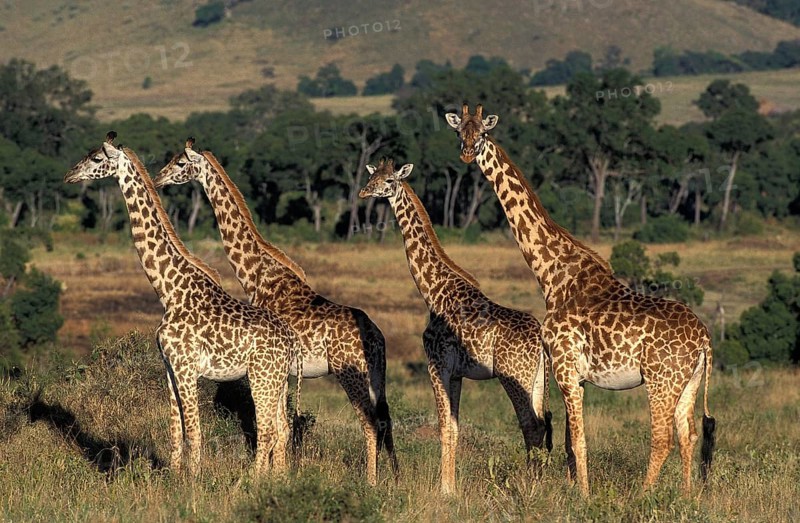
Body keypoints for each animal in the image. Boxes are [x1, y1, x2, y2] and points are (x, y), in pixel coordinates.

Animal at [64, 132, 303, 476]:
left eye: (97, 158)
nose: (69, 174)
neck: (168, 290)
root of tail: (292, 340)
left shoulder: (187, 366)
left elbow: (194, 431)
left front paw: (193, 482)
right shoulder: (169, 366)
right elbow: (175, 430)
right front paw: (176, 478)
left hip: (262, 376)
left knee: (268, 430)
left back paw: (251, 482)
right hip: (278, 380)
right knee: (282, 429)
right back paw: (277, 480)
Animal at [153, 138, 398, 485]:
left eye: (180, 163)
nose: (158, 179)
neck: (255, 273)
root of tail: (378, 338)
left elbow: (272, 428)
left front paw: (267, 478)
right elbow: (279, 428)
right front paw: (276, 476)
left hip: (351, 373)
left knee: (369, 422)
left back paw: (370, 481)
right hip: (377, 374)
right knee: (386, 421)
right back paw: (394, 477)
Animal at [358, 159, 551, 495]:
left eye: (389, 181)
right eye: (372, 176)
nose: (363, 192)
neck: (432, 292)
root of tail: (540, 342)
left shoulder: (436, 364)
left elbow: (443, 426)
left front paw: (444, 489)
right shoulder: (458, 373)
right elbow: (456, 428)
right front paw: (451, 485)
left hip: (515, 376)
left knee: (532, 425)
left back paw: (531, 486)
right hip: (540, 378)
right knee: (542, 422)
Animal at [446, 104, 716, 495]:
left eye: (481, 133)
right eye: (459, 132)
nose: (467, 153)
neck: (552, 275)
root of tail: (705, 340)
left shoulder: (565, 368)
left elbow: (577, 440)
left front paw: (584, 496)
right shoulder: (575, 375)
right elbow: (570, 441)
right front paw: (575, 489)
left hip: (661, 380)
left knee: (662, 437)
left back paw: (642, 496)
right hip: (689, 382)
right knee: (688, 434)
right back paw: (687, 496)